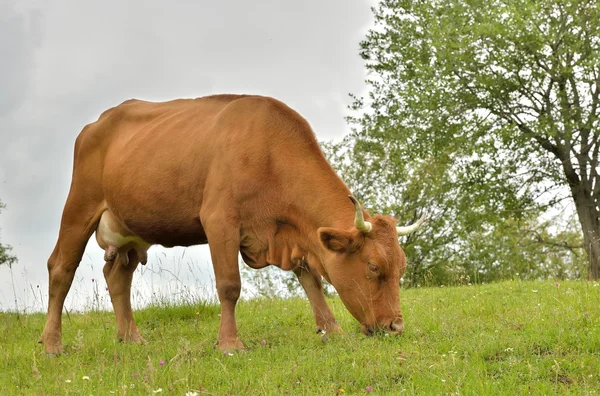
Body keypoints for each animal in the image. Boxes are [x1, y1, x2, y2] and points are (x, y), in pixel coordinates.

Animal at [39, 94, 424, 354]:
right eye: (374, 267)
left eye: (402, 267)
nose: (396, 326)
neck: (269, 151)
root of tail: (98, 122)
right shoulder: (220, 220)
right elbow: (229, 286)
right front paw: (229, 343)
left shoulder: (290, 234)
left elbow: (311, 280)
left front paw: (331, 329)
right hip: (79, 206)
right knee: (61, 268)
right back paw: (52, 344)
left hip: (131, 227)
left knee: (118, 276)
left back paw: (131, 337)